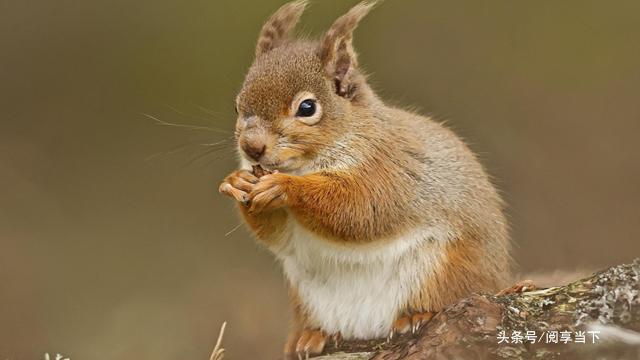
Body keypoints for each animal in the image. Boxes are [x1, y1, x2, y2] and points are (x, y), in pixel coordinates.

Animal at [220, 2, 510, 358]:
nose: (252, 148)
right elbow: (277, 234)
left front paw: (285, 187)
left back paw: (415, 316)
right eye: (237, 106)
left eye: (307, 107)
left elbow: (359, 210)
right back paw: (310, 337)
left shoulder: (387, 170)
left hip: (445, 270)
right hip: (306, 299)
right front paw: (236, 182)